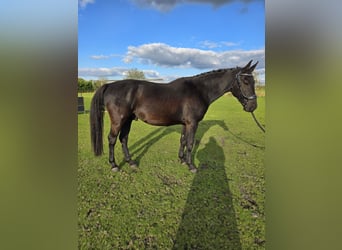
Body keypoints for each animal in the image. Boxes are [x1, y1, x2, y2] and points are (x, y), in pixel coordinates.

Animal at [89, 60, 258, 172]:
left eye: (254, 81)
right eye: (245, 80)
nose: (252, 106)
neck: (199, 90)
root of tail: (109, 85)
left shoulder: (185, 123)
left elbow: (182, 140)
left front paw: (182, 160)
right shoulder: (192, 123)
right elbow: (190, 143)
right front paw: (191, 166)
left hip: (128, 120)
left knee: (123, 139)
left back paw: (131, 162)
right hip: (119, 120)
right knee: (112, 139)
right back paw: (114, 165)